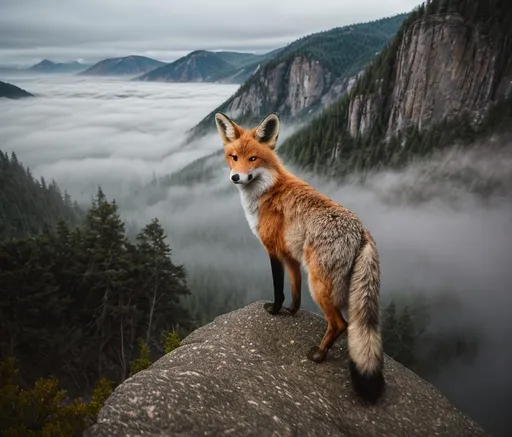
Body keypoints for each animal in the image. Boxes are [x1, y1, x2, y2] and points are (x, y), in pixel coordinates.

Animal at [214, 110, 386, 402]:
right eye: (234, 157)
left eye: (253, 159)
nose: (236, 177)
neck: (268, 190)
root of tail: (363, 231)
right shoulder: (291, 257)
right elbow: (294, 291)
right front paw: (291, 311)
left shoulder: (272, 250)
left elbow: (278, 288)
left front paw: (274, 310)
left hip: (320, 286)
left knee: (341, 324)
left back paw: (319, 354)